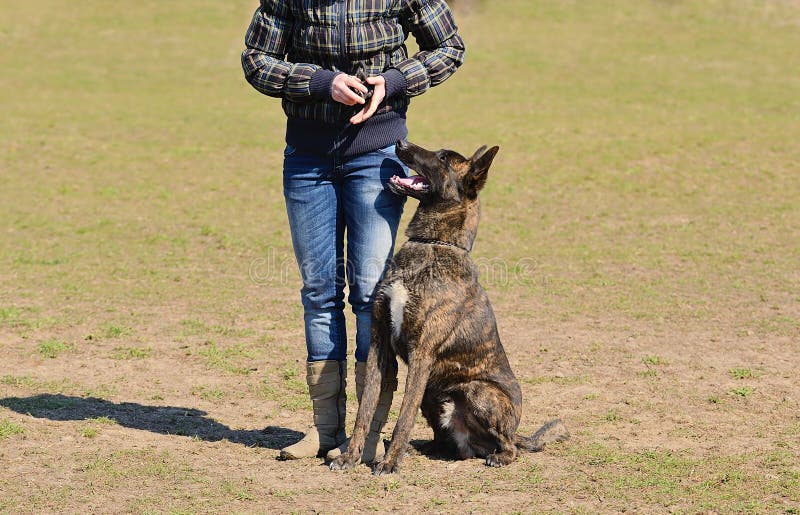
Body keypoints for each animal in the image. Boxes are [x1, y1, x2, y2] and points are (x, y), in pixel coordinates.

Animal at [332, 140, 568, 476]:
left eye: (443, 158)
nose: (401, 143)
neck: (431, 242)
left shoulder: (422, 355)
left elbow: (403, 417)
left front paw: (389, 464)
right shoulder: (379, 347)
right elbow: (364, 410)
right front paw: (350, 457)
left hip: (477, 391)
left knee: (509, 447)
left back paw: (497, 455)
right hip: (433, 393)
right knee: (445, 443)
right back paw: (418, 449)